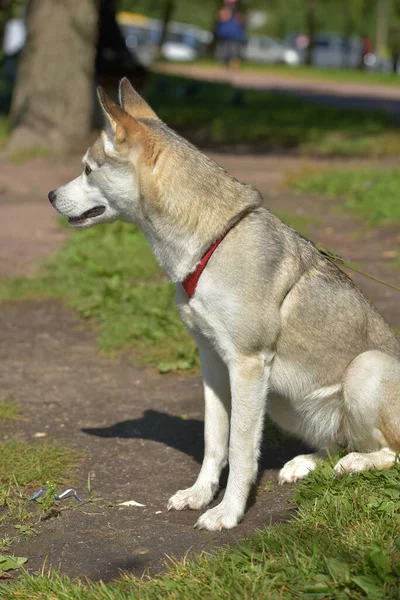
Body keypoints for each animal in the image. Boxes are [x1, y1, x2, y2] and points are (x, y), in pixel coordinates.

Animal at [47, 78, 400, 528]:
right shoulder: (213, 363)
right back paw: (306, 462)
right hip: (283, 400)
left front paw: (228, 512)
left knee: (385, 452)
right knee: (340, 441)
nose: (50, 195)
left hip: (362, 369)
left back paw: (353, 464)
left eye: (88, 170)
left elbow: (241, 449)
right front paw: (200, 494)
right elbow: (214, 440)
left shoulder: (247, 365)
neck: (211, 242)